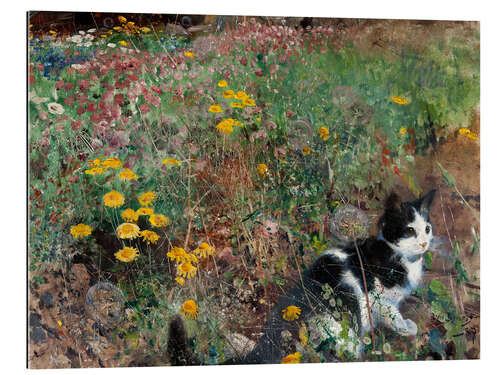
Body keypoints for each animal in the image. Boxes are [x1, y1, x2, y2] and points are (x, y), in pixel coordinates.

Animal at [166, 189, 436, 366]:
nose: (425, 243)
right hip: (341, 327)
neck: (396, 254)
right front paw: (406, 328)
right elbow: (393, 315)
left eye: (427, 228)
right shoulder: (379, 298)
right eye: (409, 230)